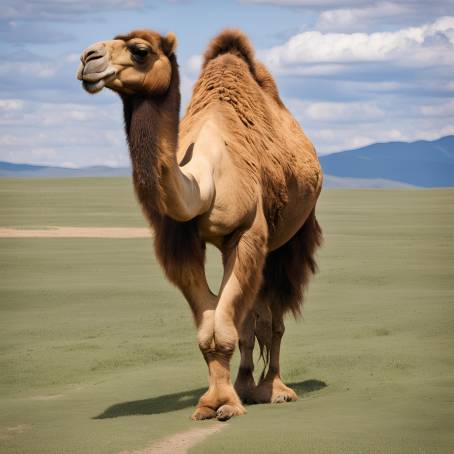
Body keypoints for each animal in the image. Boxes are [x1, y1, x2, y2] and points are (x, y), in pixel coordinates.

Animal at [76, 28, 320, 422]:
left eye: (140, 51)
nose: (87, 58)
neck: (205, 180)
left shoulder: (249, 232)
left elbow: (229, 325)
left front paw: (227, 405)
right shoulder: (180, 241)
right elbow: (212, 328)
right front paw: (213, 402)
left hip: (291, 237)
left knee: (275, 319)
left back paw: (275, 389)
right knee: (250, 320)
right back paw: (246, 385)